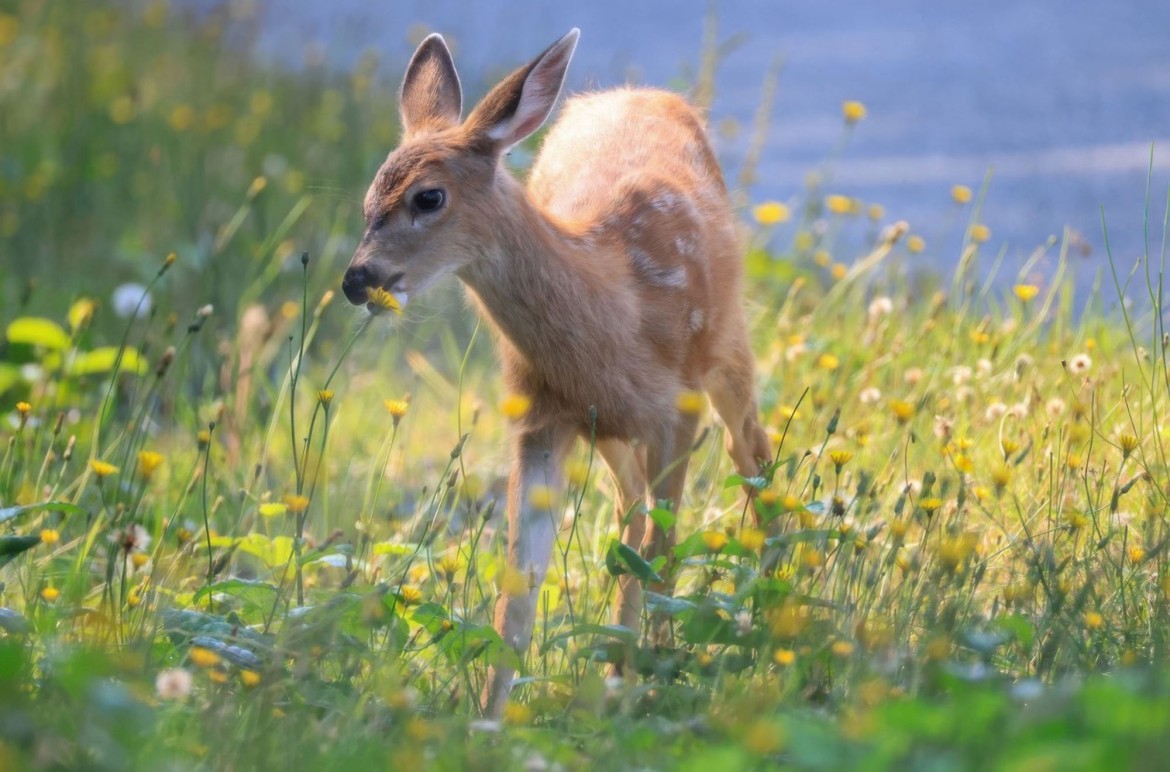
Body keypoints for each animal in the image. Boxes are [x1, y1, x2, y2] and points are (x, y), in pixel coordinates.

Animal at [341, 29, 771, 717]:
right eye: (366, 204)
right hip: (607, 431)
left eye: (427, 197)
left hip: (727, 343)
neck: (616, 311)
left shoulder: (676, 411)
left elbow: (664, 555)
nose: (357, 280)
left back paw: (771, 608)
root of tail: (639, 92)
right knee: (631, 511)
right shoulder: (540, 420)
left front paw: (645, 687)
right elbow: (520, 584)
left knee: (749, 451)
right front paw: (488, 720)